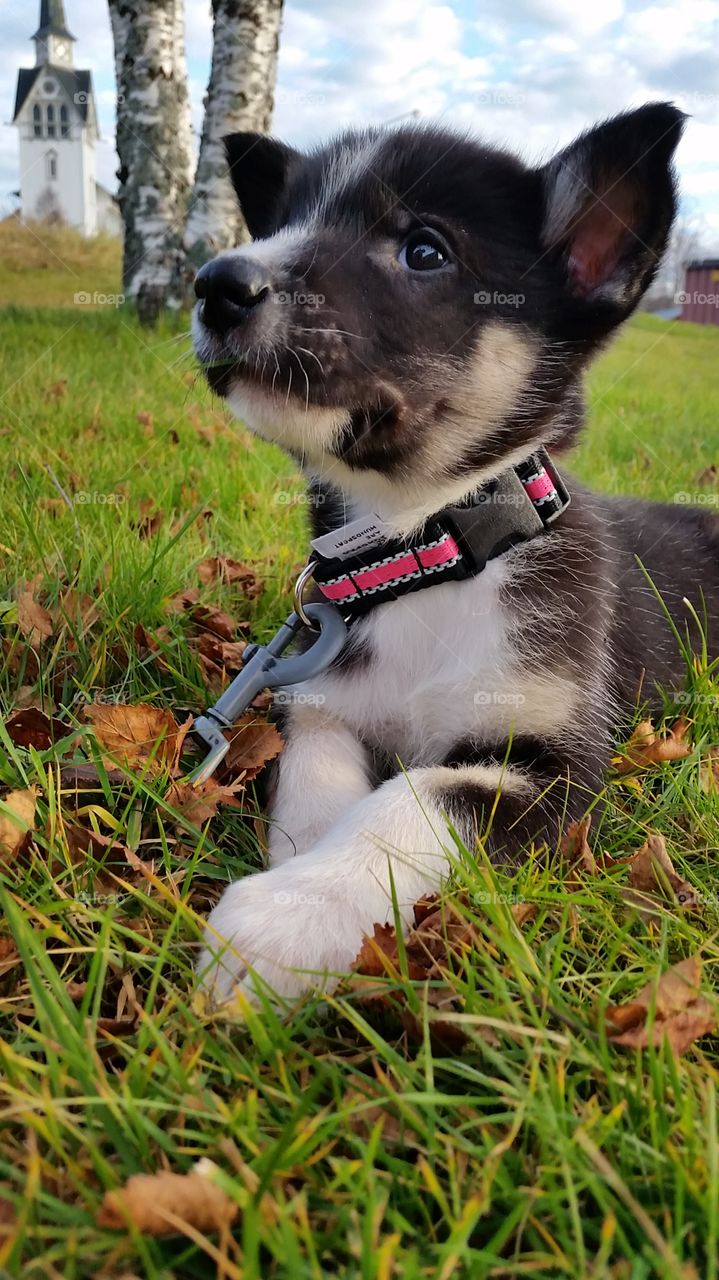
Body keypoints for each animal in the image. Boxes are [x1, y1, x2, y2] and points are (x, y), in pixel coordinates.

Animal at [190, 104, 716, 1003]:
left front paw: (285, 919)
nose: (215, 283)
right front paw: (301, 866)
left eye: (425, 250)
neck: (423, 551)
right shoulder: (321, 704)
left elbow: (417, 797)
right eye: (286, 222)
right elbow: (320, 778)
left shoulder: (551, 765)